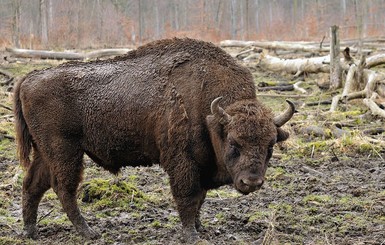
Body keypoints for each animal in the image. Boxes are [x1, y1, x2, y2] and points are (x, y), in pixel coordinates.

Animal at [13, 37, 292, 242]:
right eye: (234, 143)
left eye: (270, 145)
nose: (251, 182)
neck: (210, 113)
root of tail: (29, 78)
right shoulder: (183, 162)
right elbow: (188, 196)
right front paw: (191, 235)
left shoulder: (201, 165)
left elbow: (199, 198)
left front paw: (200, 227)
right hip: (65, 150)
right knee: (63, 188)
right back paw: (88, 232)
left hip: (45, 152)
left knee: (32, 184)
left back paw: (31, 231)